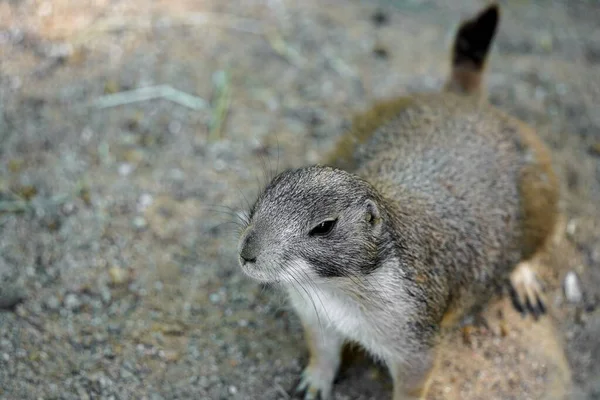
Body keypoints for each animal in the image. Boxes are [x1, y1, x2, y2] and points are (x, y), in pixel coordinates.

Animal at [237, 3, 560, 400]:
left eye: (324, 226)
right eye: (266, 191)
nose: (246, 254)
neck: (336, 287)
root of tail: (463, 98)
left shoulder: (415, 338)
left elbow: (412, 382)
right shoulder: (316, 315)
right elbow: (323, 351)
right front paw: (313, 384)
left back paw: (524, 280)